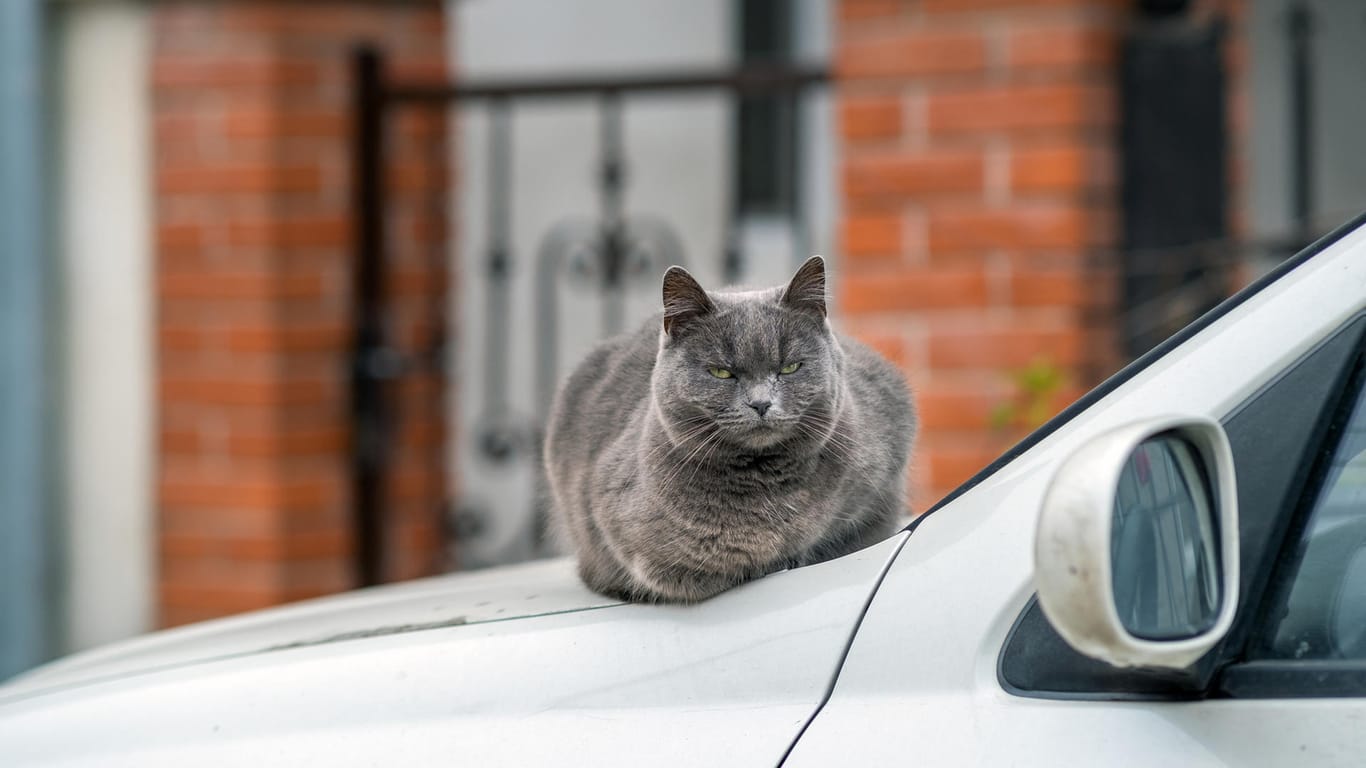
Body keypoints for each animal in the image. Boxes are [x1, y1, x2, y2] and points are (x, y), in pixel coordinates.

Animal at [538, 254, 912, 601]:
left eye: (790, 367)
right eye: (722, 372)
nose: (760, 403)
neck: (764, 486)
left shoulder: (881, 476)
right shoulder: (632, 536)